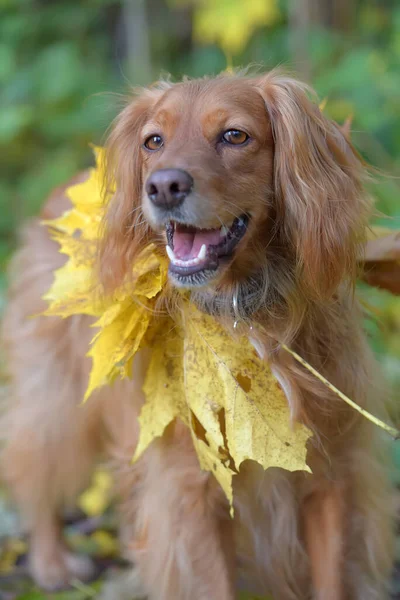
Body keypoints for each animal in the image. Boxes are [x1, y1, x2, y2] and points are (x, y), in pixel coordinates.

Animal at [0, 71, 396, 600]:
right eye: (153, 141)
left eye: (235, 136)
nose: (162, 186)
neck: (242, 317)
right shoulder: (191, 491)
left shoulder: (330, 476)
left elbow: (331, 578)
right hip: (58, 395)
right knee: (34, 466)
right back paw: (50, 561)